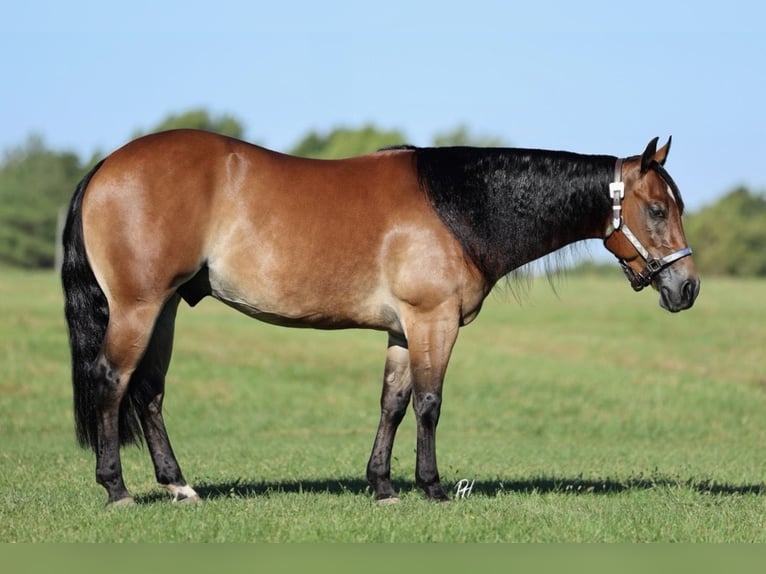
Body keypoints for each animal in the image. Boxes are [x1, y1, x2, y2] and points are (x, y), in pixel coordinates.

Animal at [61, 129, 699, 506]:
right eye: (657, 208)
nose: (687, 287)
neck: (458, 206)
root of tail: (106, 165)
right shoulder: (432, 321)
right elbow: (429, 403)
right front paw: (432, 487)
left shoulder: (401, 329)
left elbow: (392, 403)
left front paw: (383, 485)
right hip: (139, 307)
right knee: (113, 383)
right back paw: (117, 488)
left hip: (166, 307)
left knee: (149, 392)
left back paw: (178, 485)